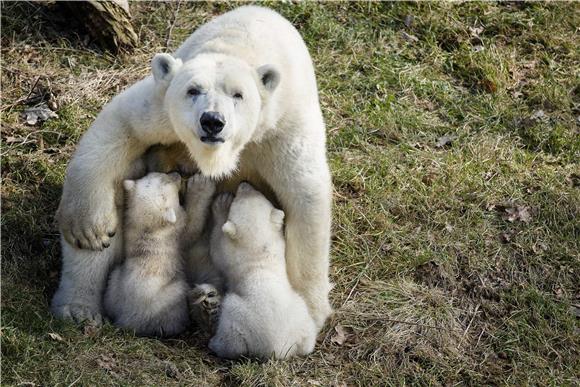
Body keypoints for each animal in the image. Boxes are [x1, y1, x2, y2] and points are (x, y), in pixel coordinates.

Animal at [52, 6, 334, 332]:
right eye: (193, 90)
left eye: (238, 94)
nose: (212, 121)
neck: (240, 44)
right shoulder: (163, 108)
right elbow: (120, 124)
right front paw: (88, 228)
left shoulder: (280, 125)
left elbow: (305, 194)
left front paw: (309, 311)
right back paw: (79, 307)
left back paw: (207, 304)